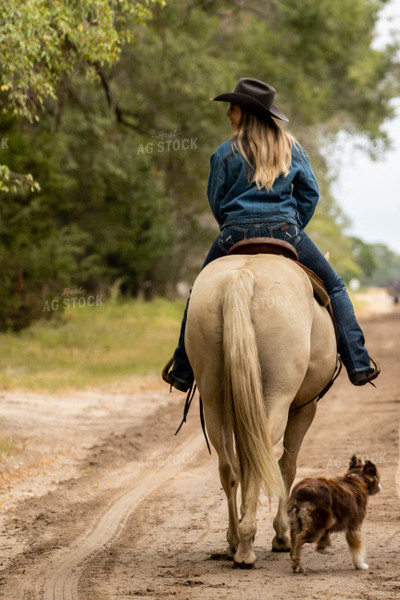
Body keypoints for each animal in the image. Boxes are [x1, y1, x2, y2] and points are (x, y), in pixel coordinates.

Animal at [184, 252, 338, 568]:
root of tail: (241, 276)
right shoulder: (305, 408)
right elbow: (286, 466)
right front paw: (282, 535)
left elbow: (244, 463)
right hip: (277, 399)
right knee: (264, 459)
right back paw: (246, 547)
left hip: (215, 402)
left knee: (229, 467)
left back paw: (235, 541)